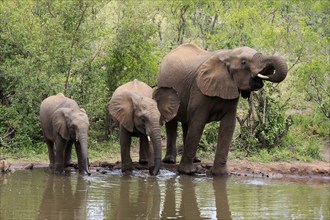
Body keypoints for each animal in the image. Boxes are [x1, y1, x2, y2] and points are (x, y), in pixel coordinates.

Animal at [156, 43, 288, 175]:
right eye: (244, 62)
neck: (228, 54)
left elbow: (228, 126)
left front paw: (221, 174)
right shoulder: (199, 89)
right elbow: (198, 122)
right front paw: (187, 172)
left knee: (187, 123)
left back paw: (197, 160)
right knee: (173, 123)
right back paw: (170, 161)